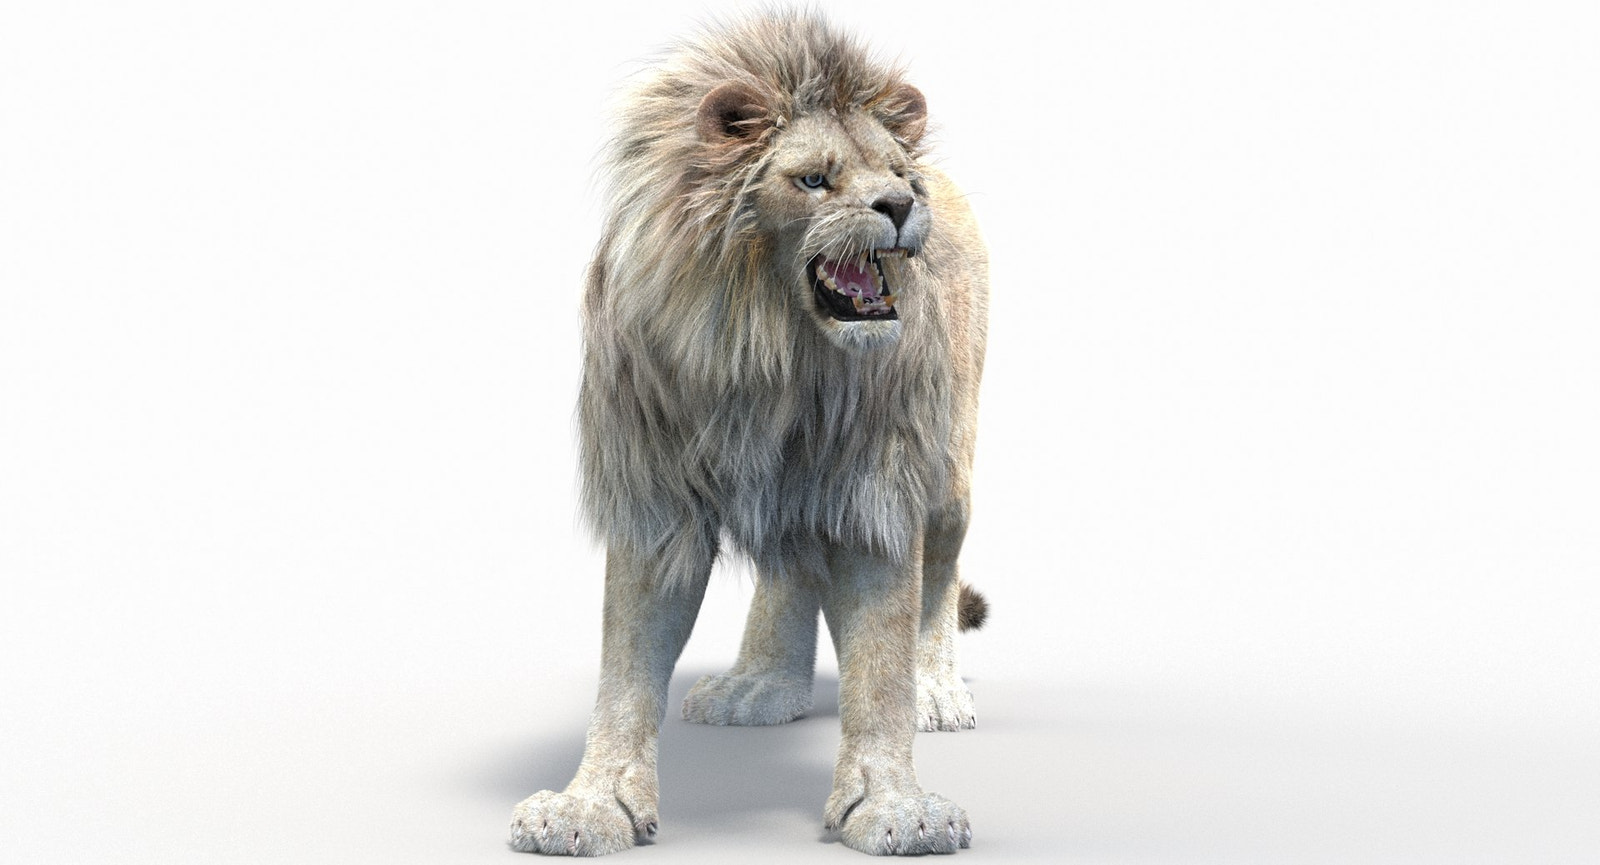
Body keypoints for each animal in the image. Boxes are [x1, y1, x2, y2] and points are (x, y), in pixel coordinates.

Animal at [510, 10, 990, 857]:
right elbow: (625, 665)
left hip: (950, 474)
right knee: (790, 564)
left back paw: (936, 687)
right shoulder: (652, 488)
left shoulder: (876, 485)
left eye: (898, 172)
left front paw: (896, 805)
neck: (768, 353)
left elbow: (881, 660)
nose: (902, 205)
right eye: (814, 179)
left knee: (937, 578)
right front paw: (587, 805)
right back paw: (760, 684)